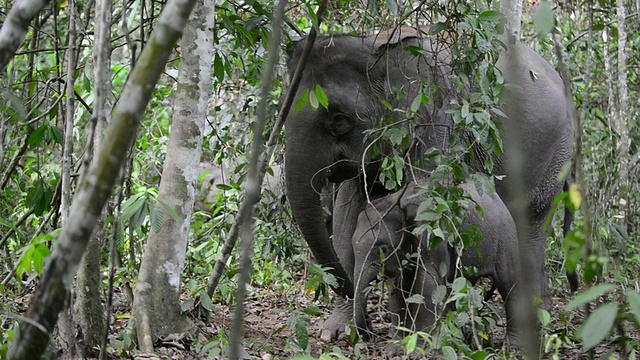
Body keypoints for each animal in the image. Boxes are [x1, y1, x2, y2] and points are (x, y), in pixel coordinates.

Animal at [352, 180, 524, 344]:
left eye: (384, 249)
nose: (366, 336)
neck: (400, 201)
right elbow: (398, 288)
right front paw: (396, 345)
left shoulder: (433, 236)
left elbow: (428, 283)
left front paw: (420, 343)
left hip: (506, 237)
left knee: (509, 283)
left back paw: (513, 346)